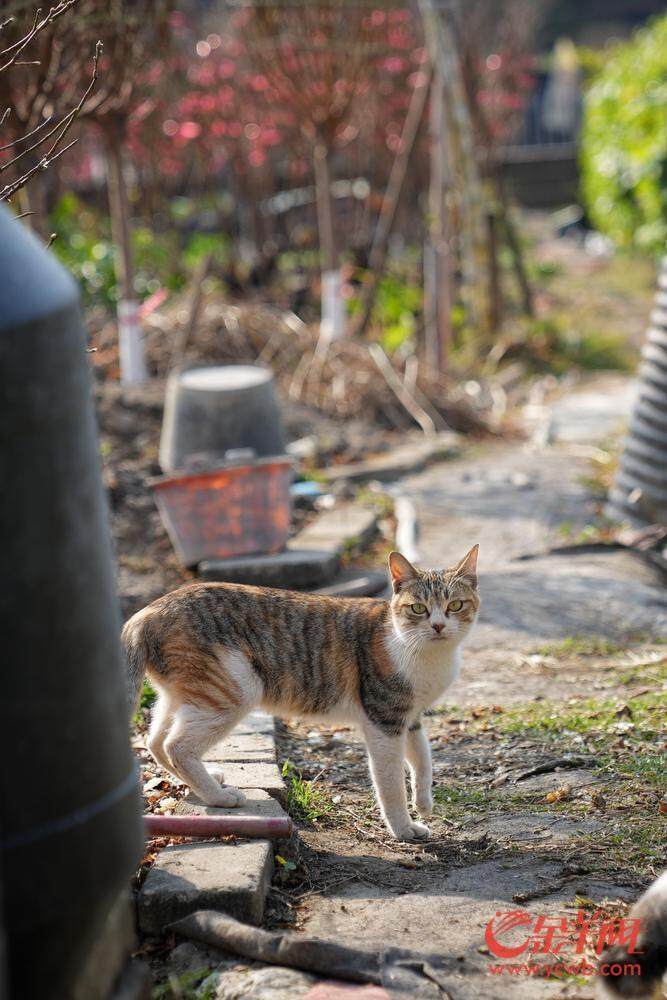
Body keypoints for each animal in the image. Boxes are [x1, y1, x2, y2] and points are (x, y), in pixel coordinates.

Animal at [124, 544, 480, 840]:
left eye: (455, 605)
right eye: (418, 609)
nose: (438, 626)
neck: (427, 654)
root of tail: (150, 610)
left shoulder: (410, 716)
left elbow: (422, 758)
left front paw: (424, 803)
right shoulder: (384, 719)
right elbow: (391, 783)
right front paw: (404, 828)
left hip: (182, 697)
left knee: (155, 741)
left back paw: (207, 780)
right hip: (230, 690)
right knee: (177, 746)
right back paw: (220, 797)